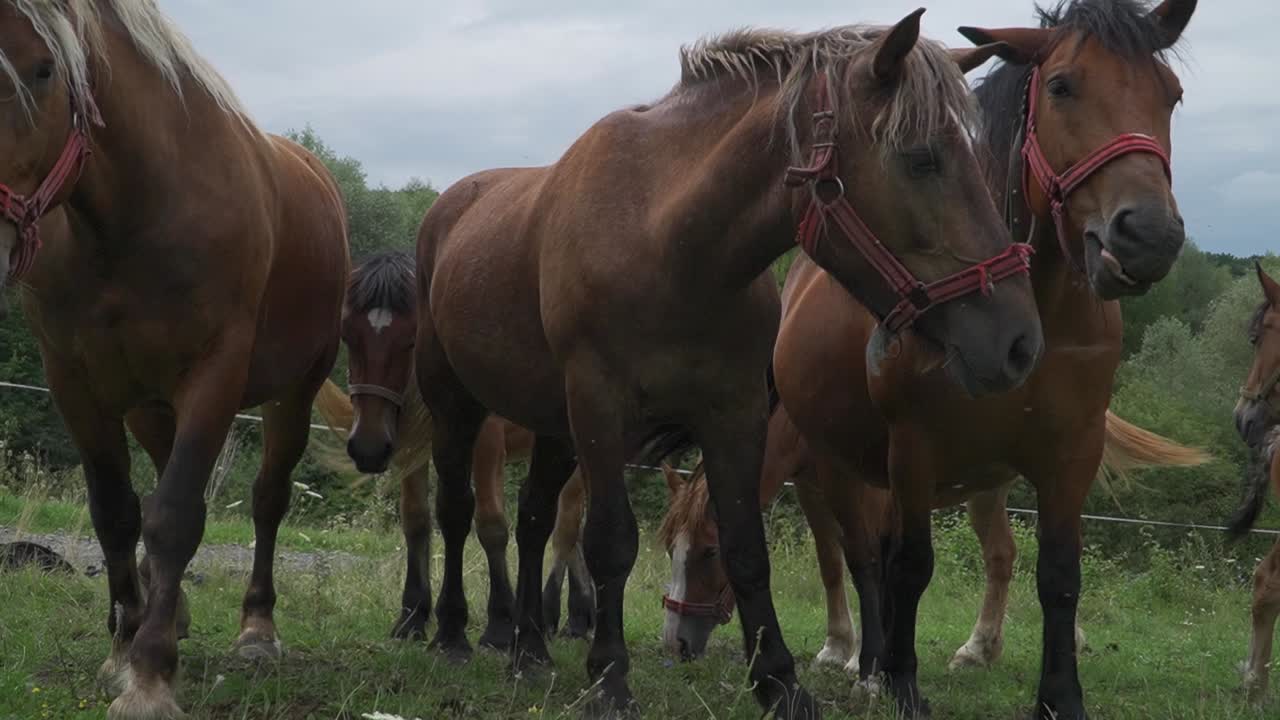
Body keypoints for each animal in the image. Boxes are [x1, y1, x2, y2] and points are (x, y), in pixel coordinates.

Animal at [0, 2, 349, 717]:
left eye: (43, 69)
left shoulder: (216, 373)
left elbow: (177, 516)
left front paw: (151, 675)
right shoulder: (75, 382)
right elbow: (116, 512)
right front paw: (121, 648)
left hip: (291, 395)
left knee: (268, 499)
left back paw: (256, 629)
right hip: (148, 403)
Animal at [310, 251, 595, 646]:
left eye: (410, 339)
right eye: (348, 335)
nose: (367, 447)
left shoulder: (486, 441)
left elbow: (491, 524)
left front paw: (499, 622)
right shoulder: (415, 448)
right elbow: (416, 519)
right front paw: (412, 616)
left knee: (567, 528)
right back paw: (577, 616)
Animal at [415, 10, 1044, 716]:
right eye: (921, 159)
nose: (1019, 341)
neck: (668, 241)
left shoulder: (732, 411)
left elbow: (747, 549)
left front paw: (778, 681)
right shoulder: (600, 406)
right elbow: (611, 542)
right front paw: (610, 677)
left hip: (554, 426)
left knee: (531, 521)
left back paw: (529, 652)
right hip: (456, 403)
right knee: (456, 508)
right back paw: (452, 635)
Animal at [659, 369, 1205, 668]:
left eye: (709, 551)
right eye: (670, 549)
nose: (676, 643)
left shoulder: (865, 489)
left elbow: (867, 561)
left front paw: (863, 658)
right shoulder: (815, 490)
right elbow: (832, 566)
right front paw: (837, 647)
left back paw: (1065, 638)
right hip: (987, 490)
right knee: (1001, 556)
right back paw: (979, 648)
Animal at [762, 1, 1197, 717]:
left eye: (1172, 95)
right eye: (1062, 86)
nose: (1149, 236)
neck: (1042, 313)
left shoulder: (1070, 454)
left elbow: (1059, 575)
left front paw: (1060, 695)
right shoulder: (913, 449)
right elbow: (910, 566)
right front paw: (902, 683)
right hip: (843, 466)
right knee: (868, 556)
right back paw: (872, 662)